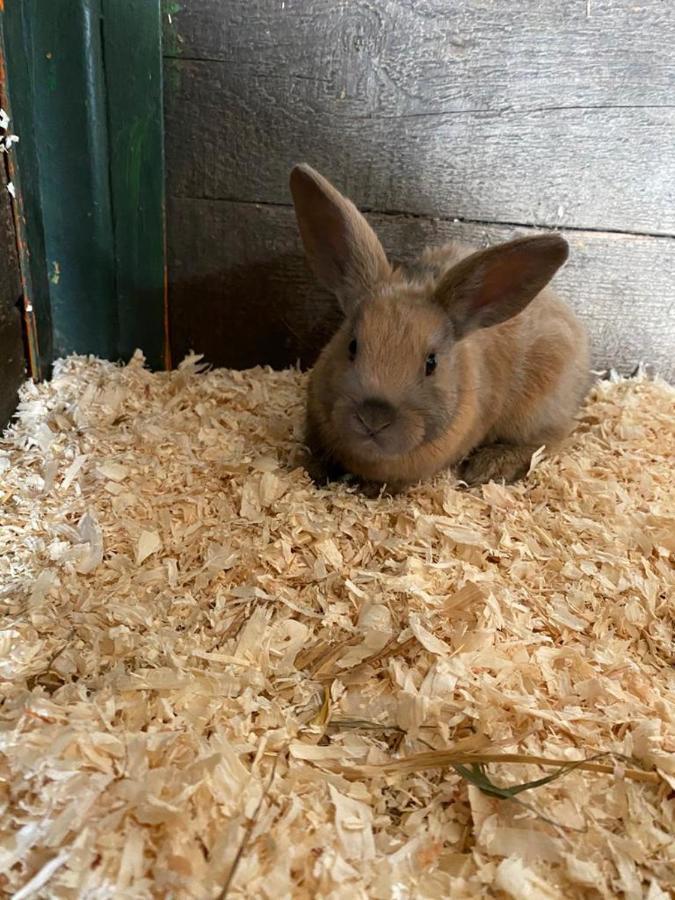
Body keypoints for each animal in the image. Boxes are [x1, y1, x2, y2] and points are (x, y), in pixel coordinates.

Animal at [290, 165, 592, 496]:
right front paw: (310, 471)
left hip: (539, 410)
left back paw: (488, 467)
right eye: (352, 345)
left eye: (431, 363)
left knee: (547, 441)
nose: (373, 418)